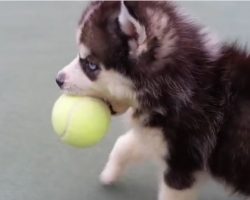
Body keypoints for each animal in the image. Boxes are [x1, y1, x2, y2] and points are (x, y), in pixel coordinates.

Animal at [55, 1, 250, 200]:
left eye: (91, 65)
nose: (58, 79)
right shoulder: (155, 138)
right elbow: (123, 145)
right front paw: (109, 173)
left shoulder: (181, 164)